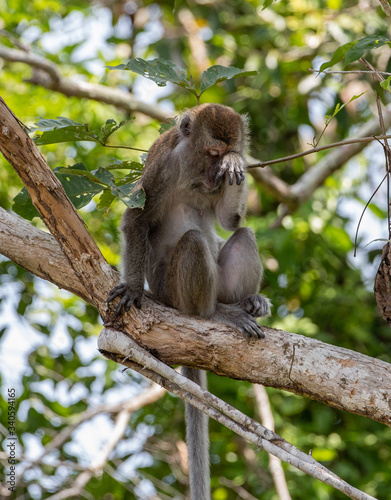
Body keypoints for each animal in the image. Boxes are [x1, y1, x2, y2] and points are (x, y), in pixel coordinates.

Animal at [107, 102, 272, 500]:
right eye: (210, 154)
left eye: (222, 157)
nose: (217, 173)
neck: (191, 169)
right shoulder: (163, 164)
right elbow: (136, 218)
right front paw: (132, 287)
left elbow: (230, 220)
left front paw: (237, 166)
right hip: (174, 293)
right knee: (195, 242)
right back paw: (214, 315)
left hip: (221, 284)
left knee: (243, 234)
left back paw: (248, 303)